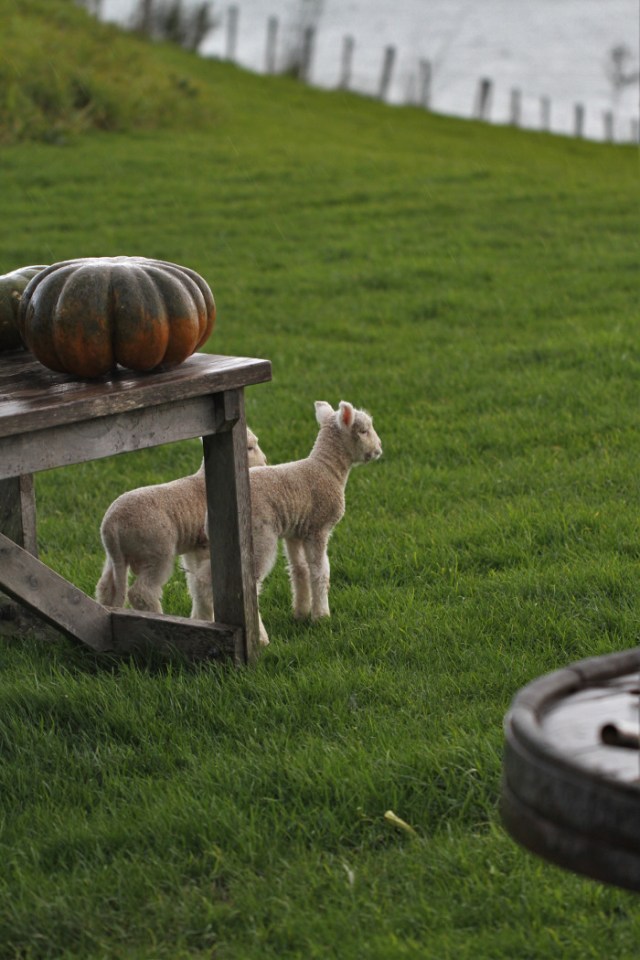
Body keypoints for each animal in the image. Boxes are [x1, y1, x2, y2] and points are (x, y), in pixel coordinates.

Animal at [95, 427, 267, 615]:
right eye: (250, 448)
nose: (265, 463)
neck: (203, 481)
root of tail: (112, 526)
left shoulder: (195, 546)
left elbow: (194, 580)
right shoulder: (206, 542)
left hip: (115, 557)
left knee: (106, 586)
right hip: (156, 549)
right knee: (141, 592)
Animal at [183, 400, 382, 645]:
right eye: (363, 431)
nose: (379, 449)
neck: (328, 469)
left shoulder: (295, 531)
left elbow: (299, 570)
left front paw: (301, 612)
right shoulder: (318, 528)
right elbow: (320, 571)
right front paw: (321, 616)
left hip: (220, 542)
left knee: (201, 580)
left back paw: (202, 620)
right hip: (260, 538)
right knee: (250, 586)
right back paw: (260, 638)